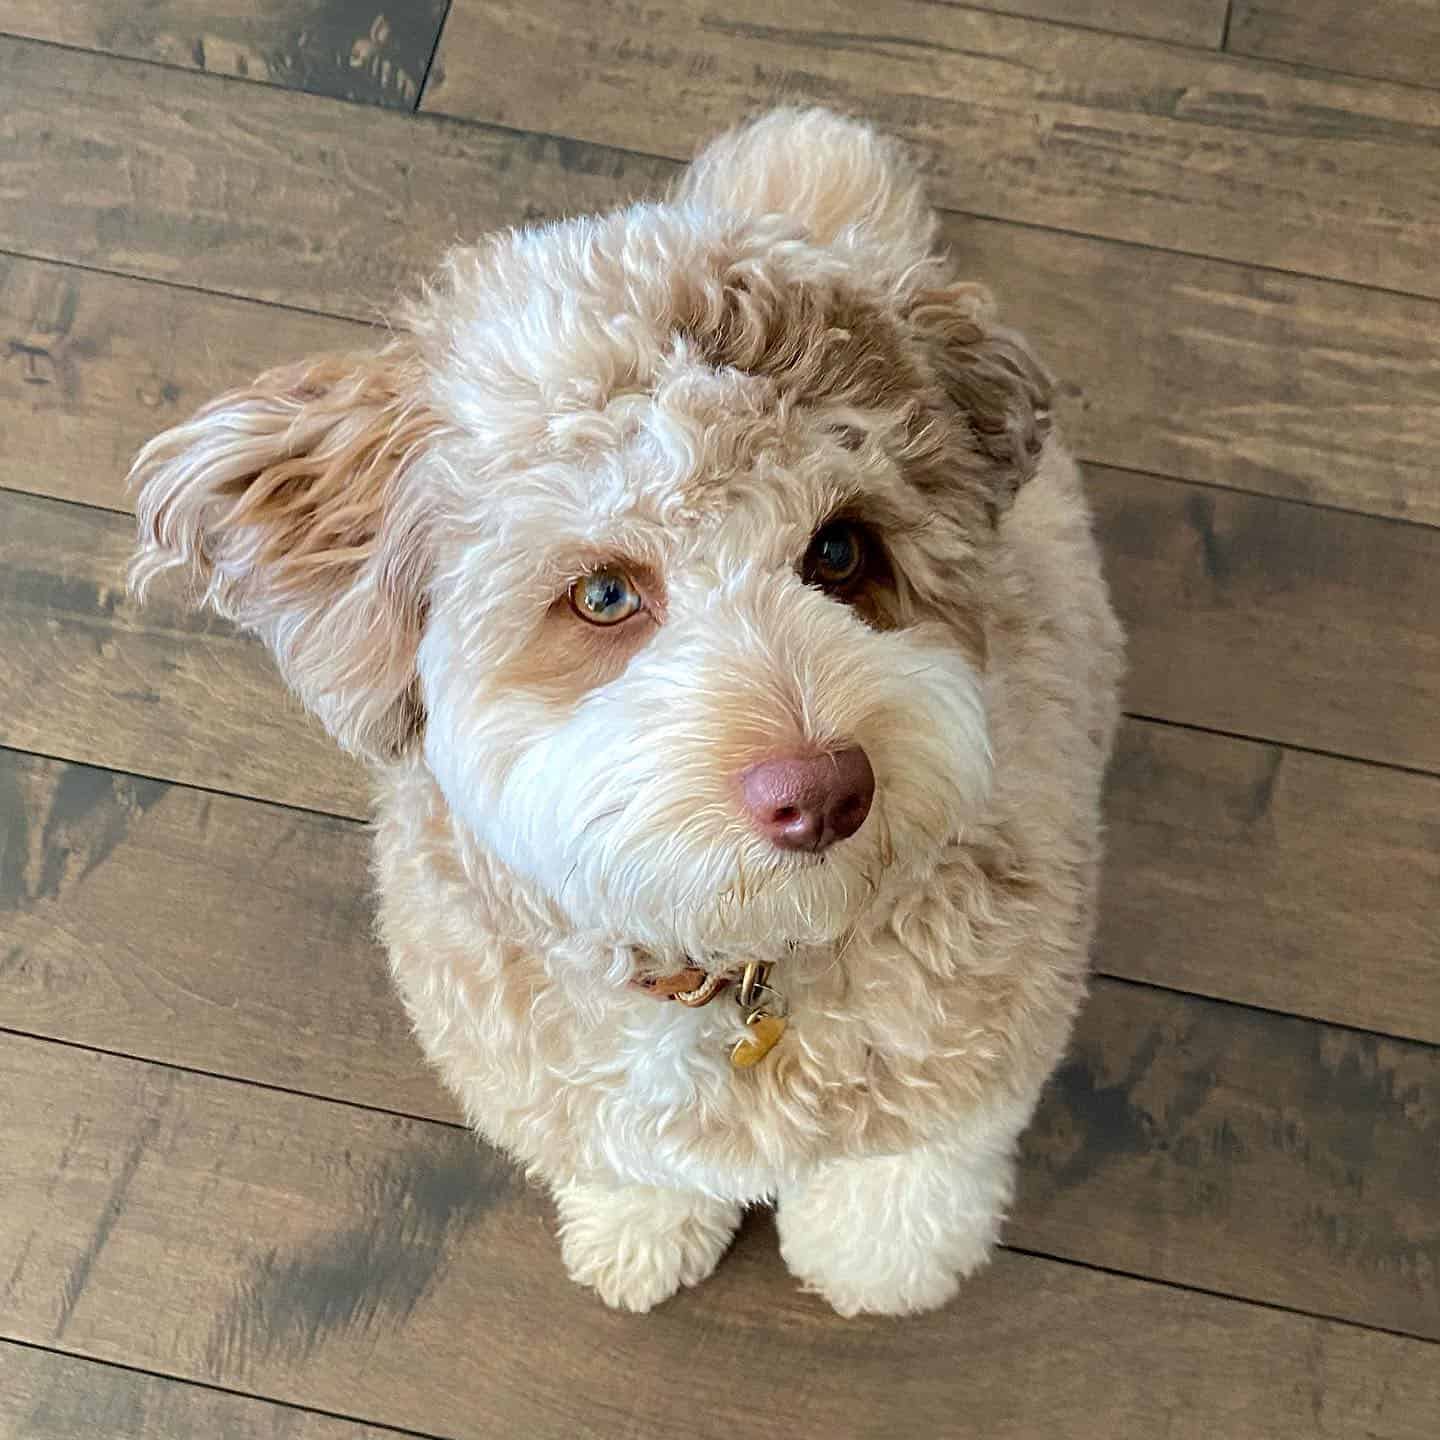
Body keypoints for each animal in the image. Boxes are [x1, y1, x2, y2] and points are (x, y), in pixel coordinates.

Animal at [129, 104, 1123, 1319]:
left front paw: (878, 1265)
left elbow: (910, 1170)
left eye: (841, 550)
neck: (727, 964)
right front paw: (639, 1234)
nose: (822, 792)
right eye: (603, 595)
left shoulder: (980, 1029)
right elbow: (628, 1162)